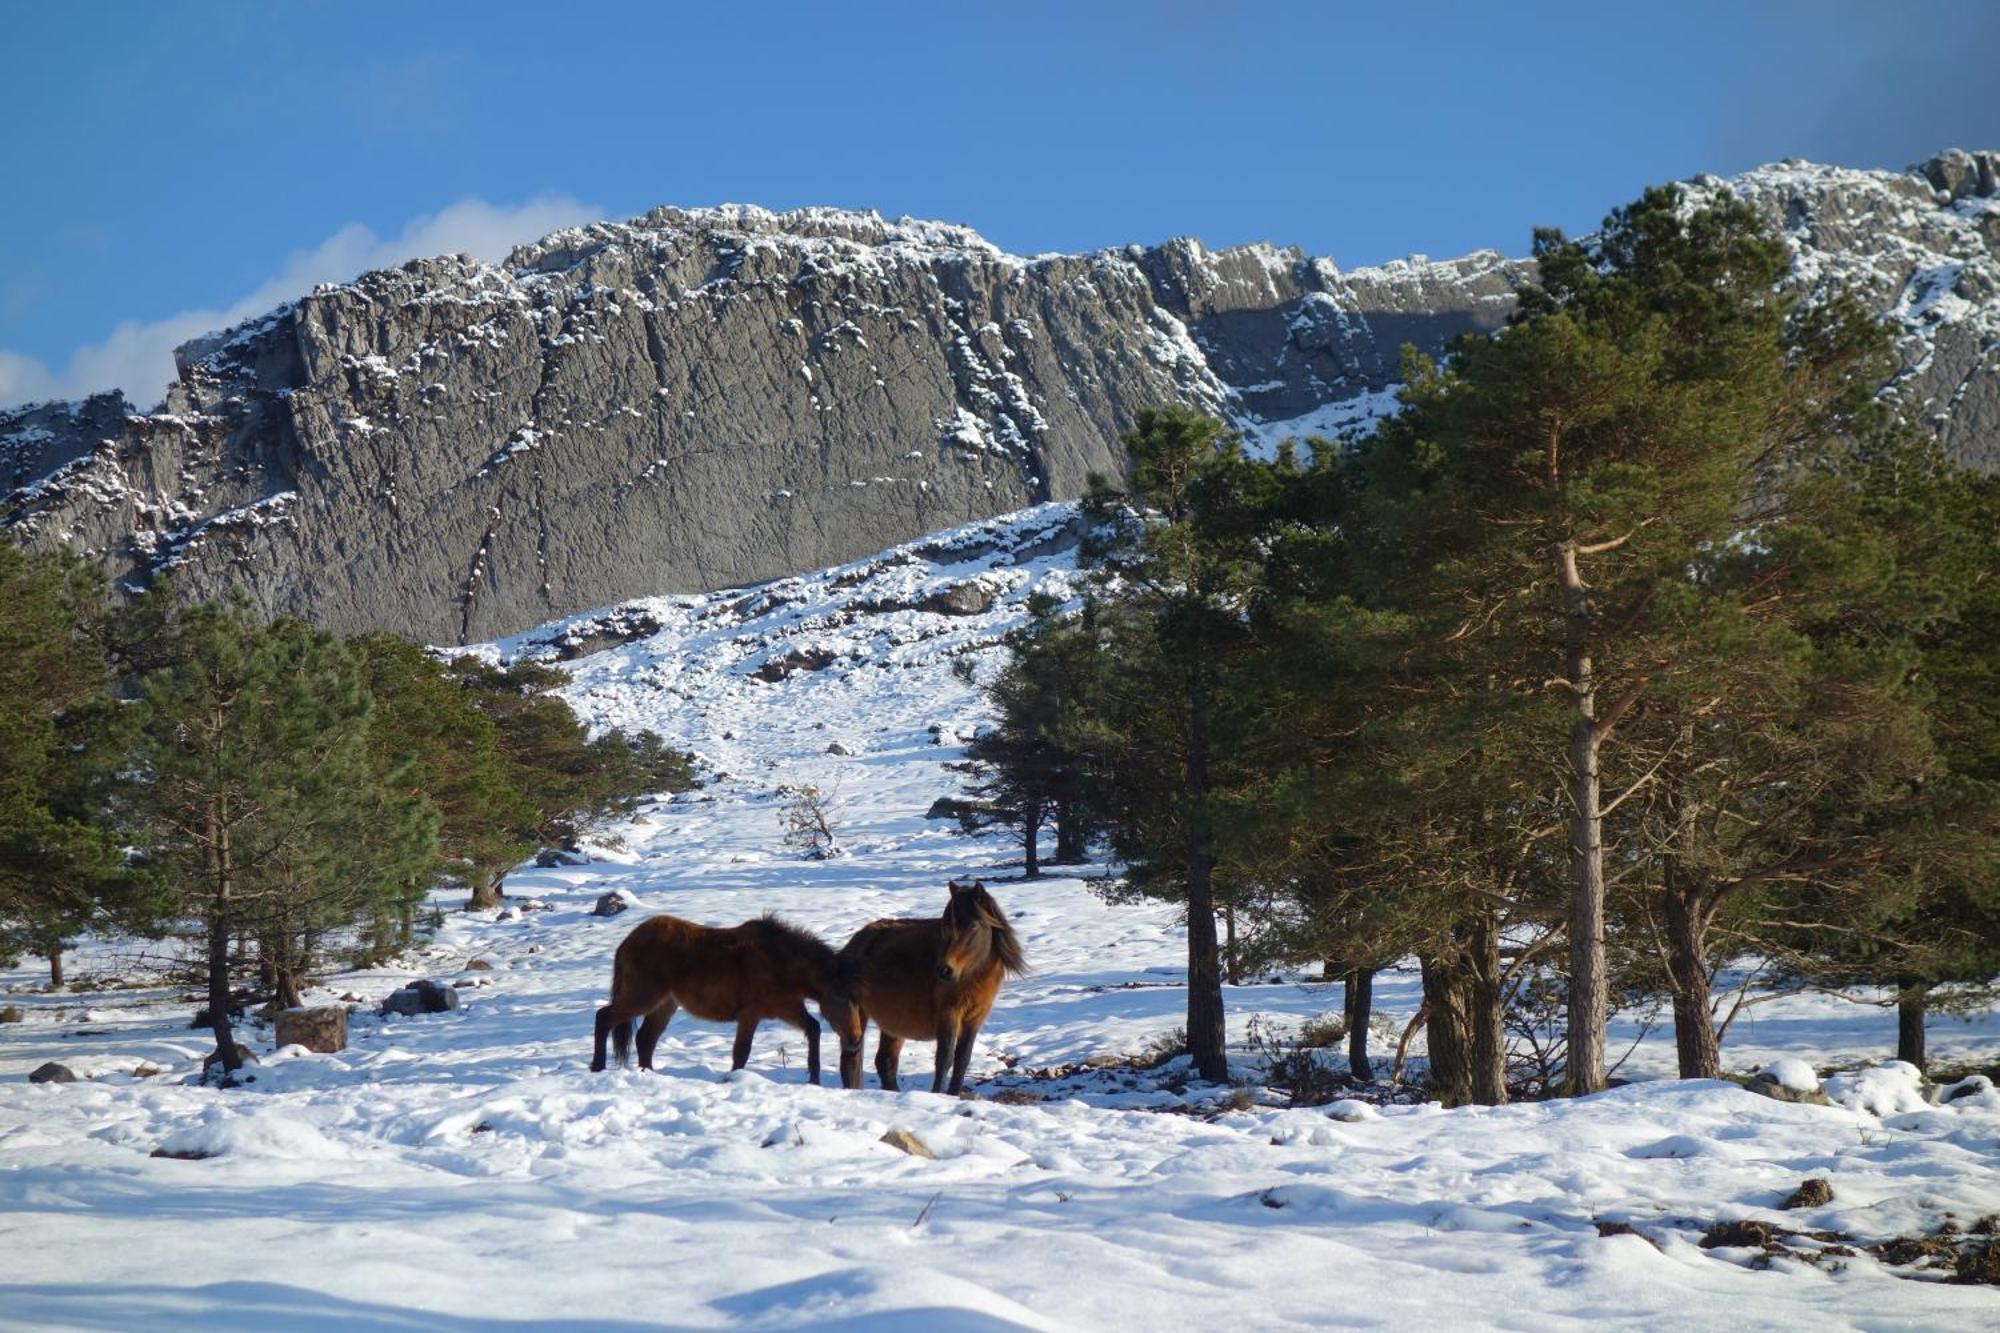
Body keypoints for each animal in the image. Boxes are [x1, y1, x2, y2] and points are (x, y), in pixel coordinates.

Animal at [584, 908, 852, 1088]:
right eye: (839, 999)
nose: (852, 1041)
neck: (780, 961)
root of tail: (627, 942)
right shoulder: (751, 1013)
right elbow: (741, 1051)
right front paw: (733, 1080)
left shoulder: (788, 1008)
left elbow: (813, 1028)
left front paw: (814, 1079)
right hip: (643, 996)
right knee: (604, 1017)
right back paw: (597, 1067)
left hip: (664, 1004)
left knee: (645, 1038)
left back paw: (647, 1073)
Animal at [832, 872, 1024, 1088]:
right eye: (946, 924)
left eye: (974, 926)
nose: (945, 971)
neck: (972, 976)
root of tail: (856, 942)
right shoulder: (949, 1014)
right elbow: (945, 1059)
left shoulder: (975, 1018)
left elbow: (962, 1060)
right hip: (858, 1015)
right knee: (851, 1061)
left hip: (893, 1021)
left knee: (885, 1062)